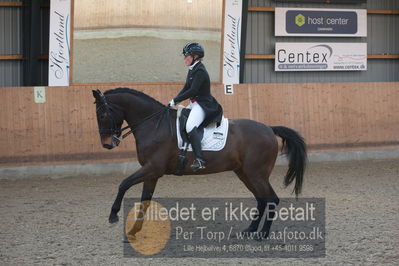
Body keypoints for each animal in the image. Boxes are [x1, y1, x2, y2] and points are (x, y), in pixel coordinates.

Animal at [92, 87, 308, 239]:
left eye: (102, 114)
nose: (107, 144)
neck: (153, 125)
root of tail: (269, 129)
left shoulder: (152, 168)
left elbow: (124, 184)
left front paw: (113, 215)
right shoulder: (151, 173)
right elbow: (144, 200)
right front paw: (133, 232)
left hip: (256, 174)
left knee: (271, 199)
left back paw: (262, 234)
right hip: (245, 173)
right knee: (262, 199)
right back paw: (250, 230)